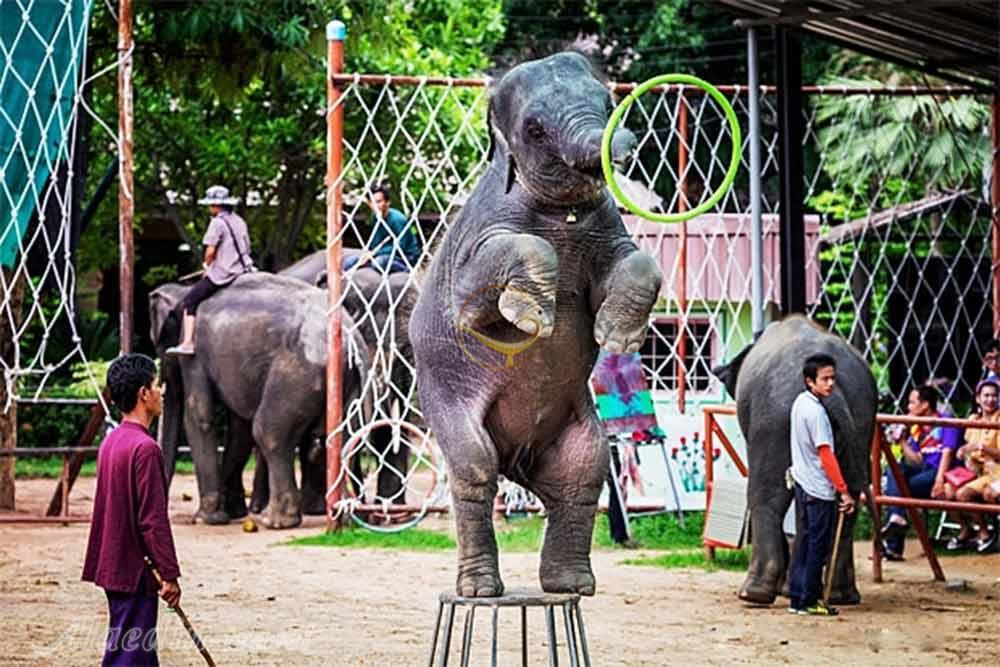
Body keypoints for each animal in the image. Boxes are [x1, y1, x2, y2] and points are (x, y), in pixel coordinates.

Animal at [149, 272, 370, 528]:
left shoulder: (194, 353)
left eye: (159, 344)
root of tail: (353, 337)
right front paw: (233, 513)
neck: (184, 291)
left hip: (297, 376)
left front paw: (207, 519)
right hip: (346, 382)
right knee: (340, 439)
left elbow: (200, 416)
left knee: (268, 431)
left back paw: (275, 521)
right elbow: (239, 430)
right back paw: (346, 518)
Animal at [409, 52, 662, 597]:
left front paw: (616, 337)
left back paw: (571, 586)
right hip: (445, 400)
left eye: (607, 100)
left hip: (576, 430)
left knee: (584, 470)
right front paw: (531, 318)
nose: (623, 142)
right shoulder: (477, 241)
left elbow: (636, 260)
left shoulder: (607, 225)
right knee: (474, 466)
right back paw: (481, 590)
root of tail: (517, 460)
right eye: (534, 128)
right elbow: (477, 298)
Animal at [711, 315, 876, 605]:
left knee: (766, 494)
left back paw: (753, 593)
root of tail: (833, 385)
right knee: (849, 500)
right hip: (861, 421)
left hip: (774, 420)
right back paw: (840, 596)